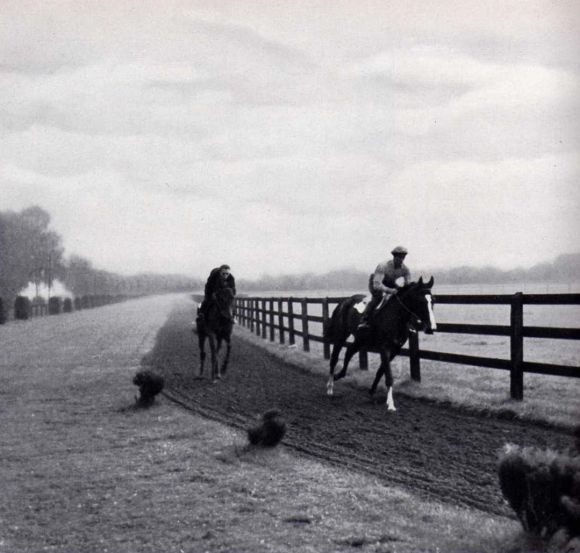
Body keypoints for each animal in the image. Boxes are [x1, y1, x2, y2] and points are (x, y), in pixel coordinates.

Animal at [322, 276, 436, 410]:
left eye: (433, 301)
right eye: (421, 301)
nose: (431, 328)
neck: (395, 317)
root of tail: (344, 302)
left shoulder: (394, 350)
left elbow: (381, 371)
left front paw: (372, 391)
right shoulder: (384, 348)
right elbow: (389, 376)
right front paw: (391, 404)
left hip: (360, 340)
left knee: (349, 352)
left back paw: (338, 375)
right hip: (341, 336)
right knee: (334, 359)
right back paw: (330, 386)